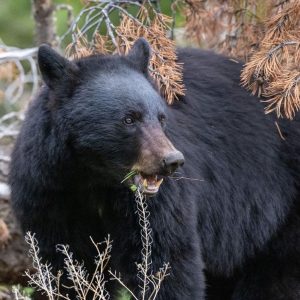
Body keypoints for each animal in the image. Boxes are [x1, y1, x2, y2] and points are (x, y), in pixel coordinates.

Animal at [8, 38, 300, 300]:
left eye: (161, 118)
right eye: (129, 119)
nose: (172, 160)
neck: (93, 178)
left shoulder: (159, 203)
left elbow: (165, 259)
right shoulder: (48, 191)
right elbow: (66, 264)